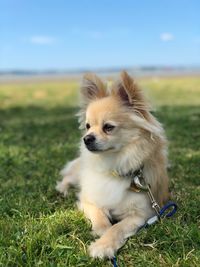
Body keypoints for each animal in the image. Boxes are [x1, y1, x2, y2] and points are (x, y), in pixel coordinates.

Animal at [55, 71, 169, 260]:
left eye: (108, 127)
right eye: (87, 126)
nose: (86, 138)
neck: (114, 164)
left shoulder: (141, 214)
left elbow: (117, 228)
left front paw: (103, 245)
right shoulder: (89, 200)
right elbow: (100, 217)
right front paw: (102, 231)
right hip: (77, 173)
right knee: (66, 178)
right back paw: (62, 190)